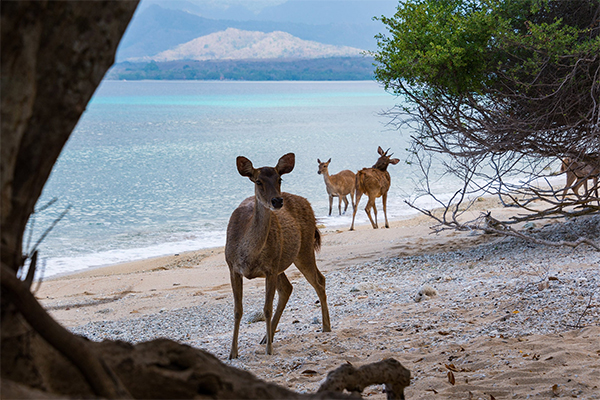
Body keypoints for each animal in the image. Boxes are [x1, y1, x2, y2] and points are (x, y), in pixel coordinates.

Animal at [225, 154, 330, 360]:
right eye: (258, 181)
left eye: (279, 179)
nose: (277, 201)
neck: (248, 254)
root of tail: (308, 203)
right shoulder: (232, 267)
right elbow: (237, 310)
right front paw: (233, 353)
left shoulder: (270, 269)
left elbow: (266, 308)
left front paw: (269, 351)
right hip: (282, 260)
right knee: (288, 288)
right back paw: (267, 337)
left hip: (303, 249)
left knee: (319, 280)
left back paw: (326, 327)